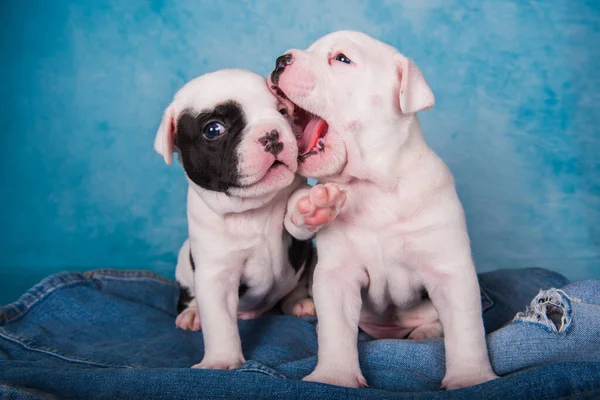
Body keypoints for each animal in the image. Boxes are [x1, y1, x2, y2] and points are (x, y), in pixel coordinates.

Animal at [152, 68, 330, 368]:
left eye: (283, 111)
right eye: (213, 129)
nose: (271, 133)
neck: (251, 209)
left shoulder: (294, 235)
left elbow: (297, 217)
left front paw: (310, 206)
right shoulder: (216, 275)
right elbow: (219, 322)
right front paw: (221, 361)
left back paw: (299, 302)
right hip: (184, 262)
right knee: (188, 295)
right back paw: (192, 313)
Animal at [270, 32, 500, 390]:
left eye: (342, 59)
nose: (280, 61)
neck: (373, 186)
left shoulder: (450, 271)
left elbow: (465, 330)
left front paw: (470, 378)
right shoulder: (337, 274)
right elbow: (336, 332)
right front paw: (333, 376)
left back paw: (426, 333)